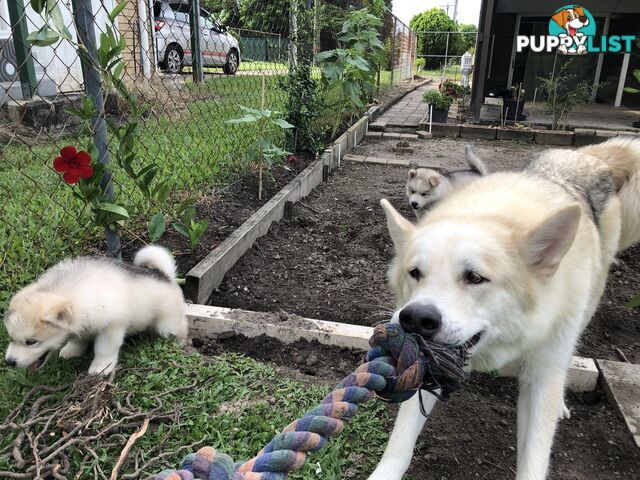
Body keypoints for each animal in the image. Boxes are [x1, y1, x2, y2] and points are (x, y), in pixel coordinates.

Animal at [368, 137, 640, 478]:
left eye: (475, 277)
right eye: (415, 273)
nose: (415, 319)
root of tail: (589, 156)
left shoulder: (542, 374)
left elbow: (534, 460)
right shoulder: (428, 366)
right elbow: (400, 445)